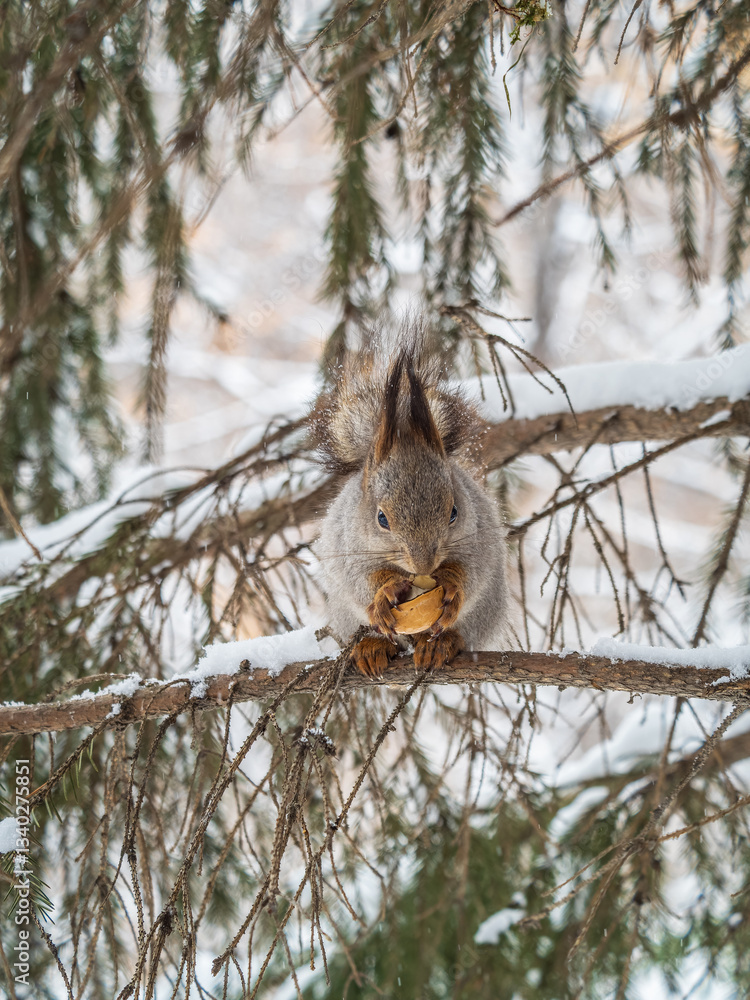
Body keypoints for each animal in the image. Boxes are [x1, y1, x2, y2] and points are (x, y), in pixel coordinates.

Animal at [311, 324, 511, 677]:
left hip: (486, 611)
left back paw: (440, 644)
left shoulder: (479, 541)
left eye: (454, 513)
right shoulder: (347, 547)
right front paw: (383, 593)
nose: (423, 565)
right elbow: (360, 580)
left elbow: (471, 572)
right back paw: (371, 647)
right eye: (381, 519)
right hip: (345, 615)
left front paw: (453, 586)